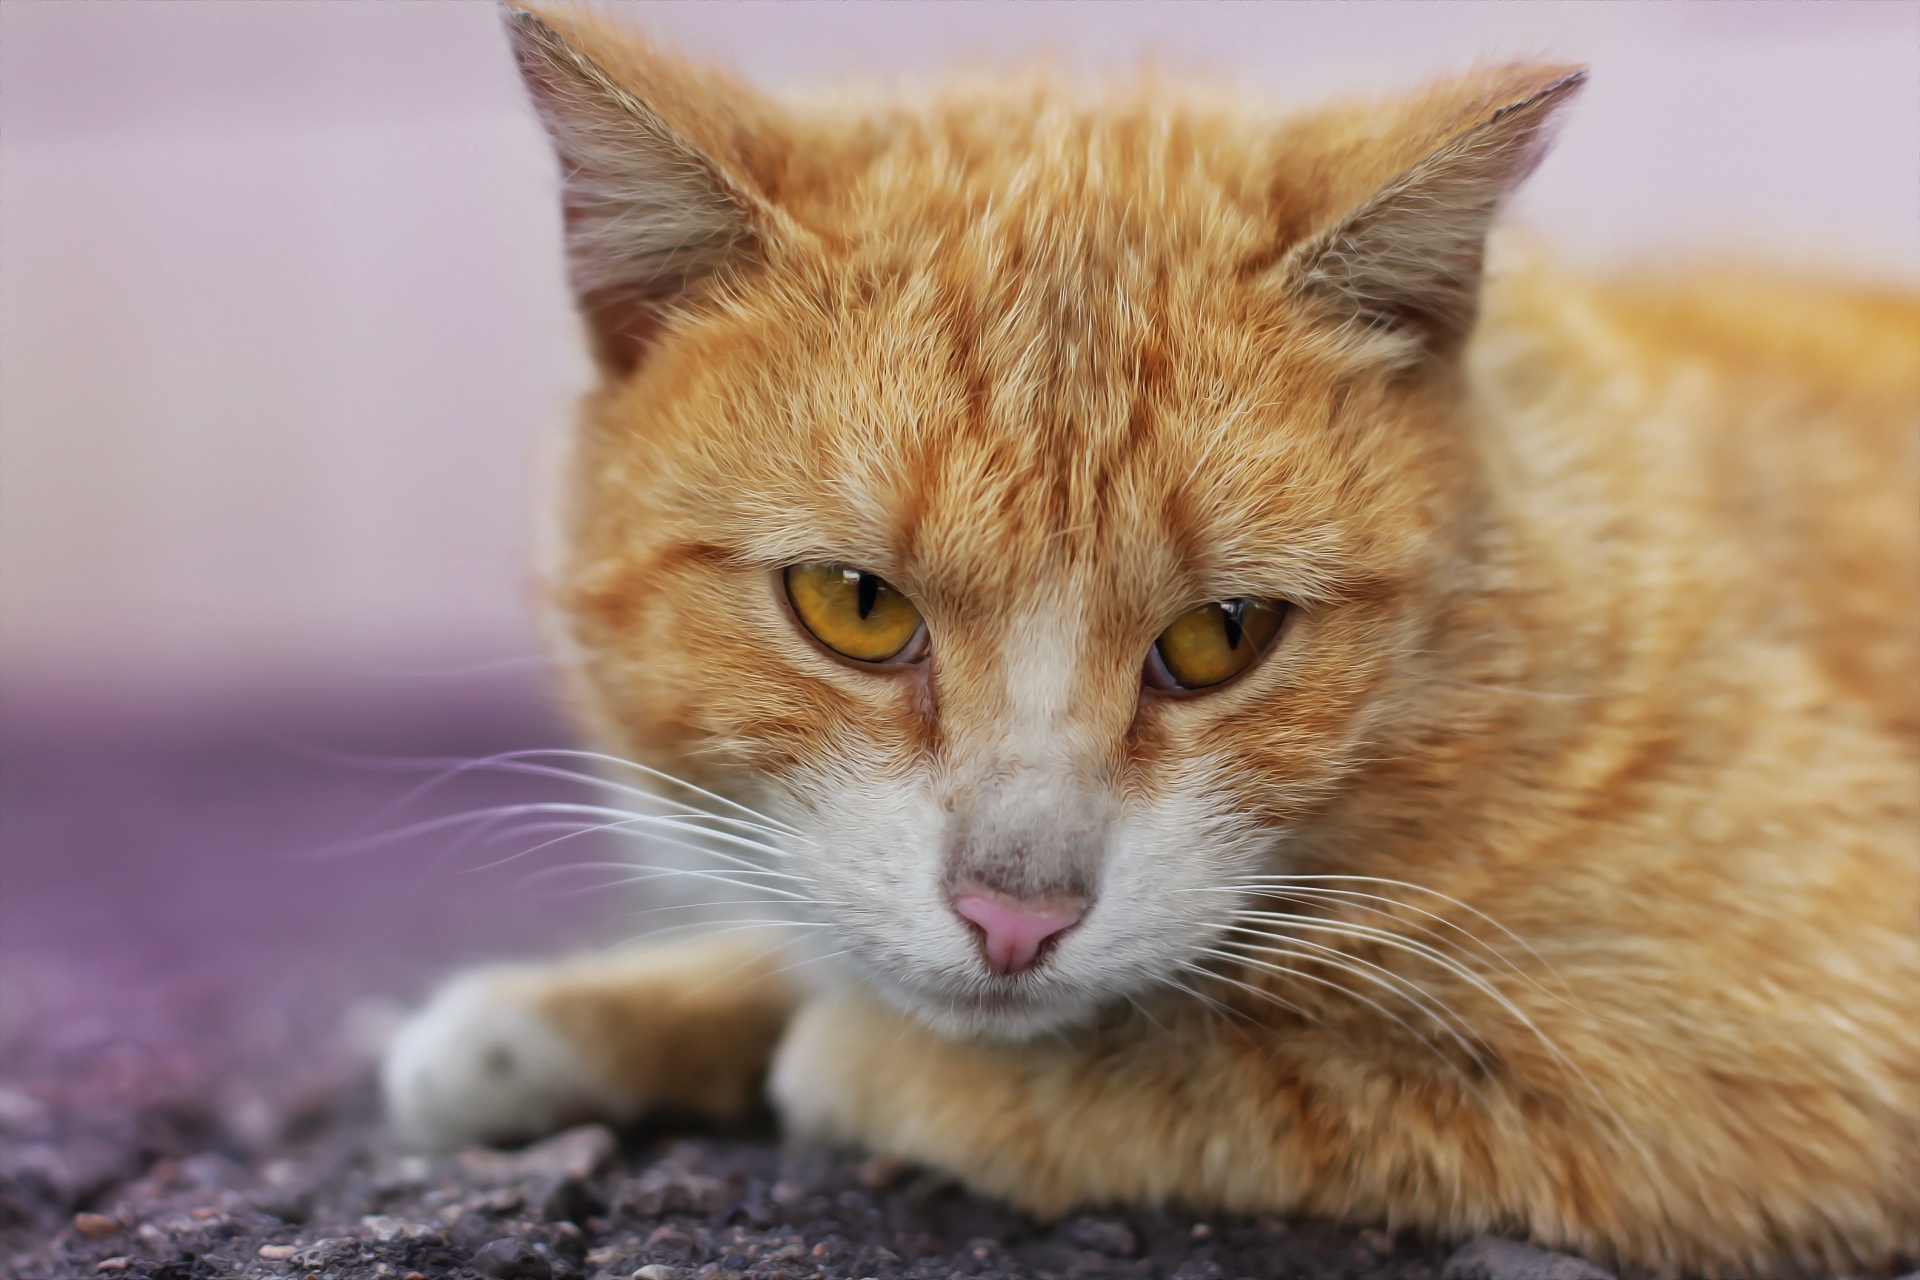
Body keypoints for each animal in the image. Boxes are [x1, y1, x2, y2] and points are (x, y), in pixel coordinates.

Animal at [378, 5, 1920, 1274]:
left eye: (1223, 634)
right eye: (856, 607)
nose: (1017, 912)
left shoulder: (1774, 1064)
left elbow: (1248, 1066)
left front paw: (846, 1056)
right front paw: (581, 1014)